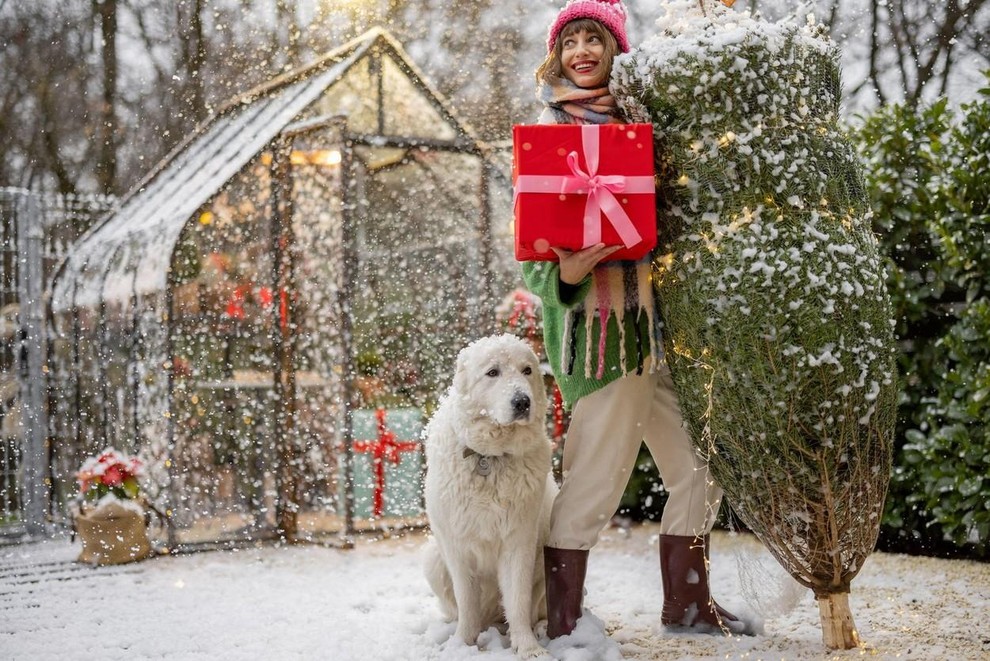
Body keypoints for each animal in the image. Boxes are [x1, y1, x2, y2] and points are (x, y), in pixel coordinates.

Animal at [424, 338, 560, 656]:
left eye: (527, 370)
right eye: (493, 372)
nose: (522, 402)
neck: (490, 458)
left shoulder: (518, 543)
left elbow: (518, 602)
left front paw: (528, 648)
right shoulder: (456, 547)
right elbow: (467, 602)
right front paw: (462, 644)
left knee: (534, 609)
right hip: (433, 558)